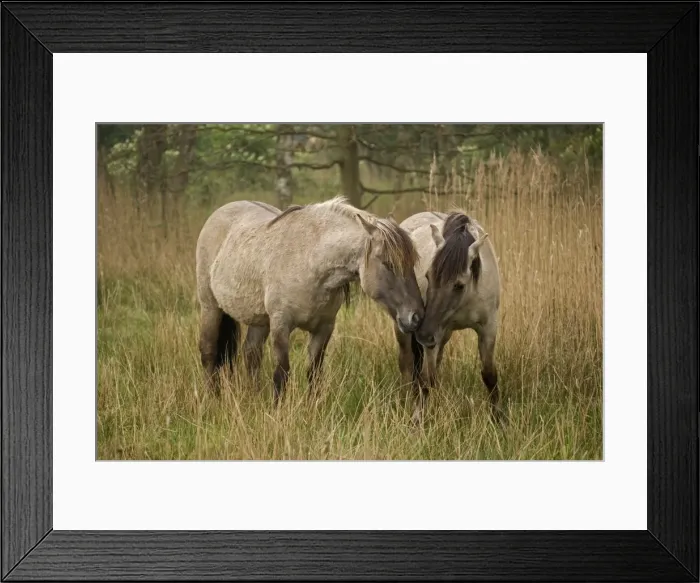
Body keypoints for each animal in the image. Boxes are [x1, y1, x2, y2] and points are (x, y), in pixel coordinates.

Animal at [195, 196, 425, 403]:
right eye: (388, 264)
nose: (416, 317)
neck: (311, 262)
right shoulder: (281, 324)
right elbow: (282, 373)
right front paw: (278, 410)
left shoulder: (323, 328)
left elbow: (314, 373)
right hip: (210, 307)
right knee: (208, 351)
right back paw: (212, 399)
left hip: (259, 320)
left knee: (251, 355)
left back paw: (254, 397)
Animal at [394, 210, 502, 424]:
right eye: (428, 276)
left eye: (458, 285)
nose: (423, 335)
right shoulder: (433, 333)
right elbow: (426, 378)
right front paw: (418, 419)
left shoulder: (488, 328)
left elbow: (489, 374)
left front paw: (498, 418)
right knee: (408, 365)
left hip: (442, 336)